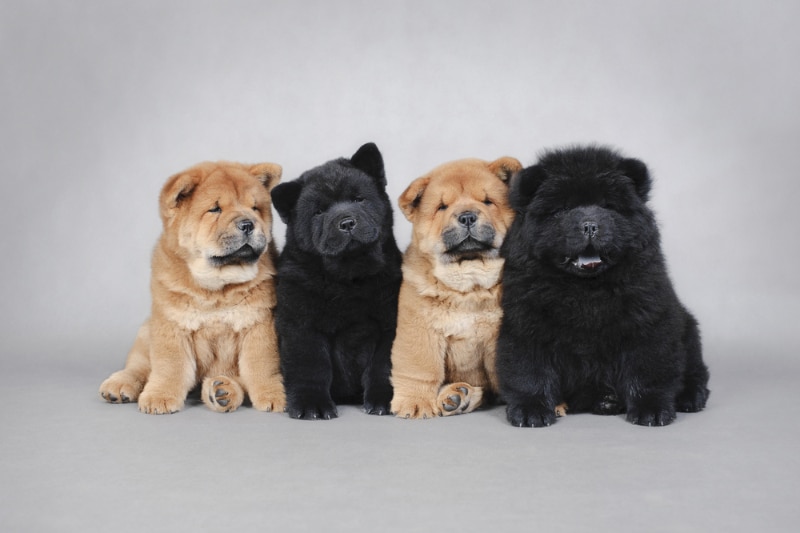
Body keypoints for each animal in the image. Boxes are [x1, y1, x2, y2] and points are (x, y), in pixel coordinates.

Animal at [99, 160, 286, 414]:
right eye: (215, 209)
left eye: (255, 208)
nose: (248, 223)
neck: (218, 286)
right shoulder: (172, 324)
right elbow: (170, 366)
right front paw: (160, 397)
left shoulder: (259, 323)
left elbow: (261, 365)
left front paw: (273, 395)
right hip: (146, 333)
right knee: (139, 366)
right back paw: (118, 385)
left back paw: (223, 391)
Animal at [272, 142, 404, 420]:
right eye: (319, 212)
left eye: (358, 199)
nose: (346, 222)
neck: (348, 280)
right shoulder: (300, 323)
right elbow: (310, 365)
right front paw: (311, 406)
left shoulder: (390, 323)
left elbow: (382, 366)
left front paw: (383, 401)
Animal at [390, 156, 524, 418]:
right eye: (442, 207)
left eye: (487, 201)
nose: (467, 216)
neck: (468, 285)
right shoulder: (419, 326)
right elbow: (420, 368)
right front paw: (414, 403)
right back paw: (456, 396)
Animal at [496, 143, 708, 426]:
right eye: (562, 210)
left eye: (608, 207)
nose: (589, 225)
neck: (586, 290)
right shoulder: (527, 324)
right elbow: (529, 371)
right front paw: (531, 411)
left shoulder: (647, 321)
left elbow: (648, 369)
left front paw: (651, 410)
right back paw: (607, 401)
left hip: (688, 328)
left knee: (696, 372)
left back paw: (689, 398)